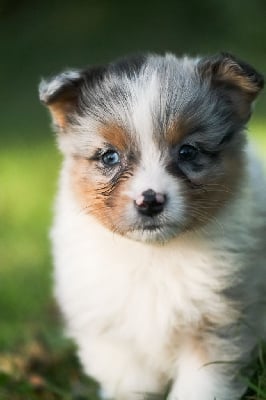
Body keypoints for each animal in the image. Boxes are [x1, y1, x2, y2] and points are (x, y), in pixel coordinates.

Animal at [39, 54, 266, 400]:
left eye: (188, 151)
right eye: (109, 156)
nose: (150, 201)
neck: (153, 254)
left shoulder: (219, 322)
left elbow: (197, 388)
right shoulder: (113, 334)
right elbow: (131, 384)